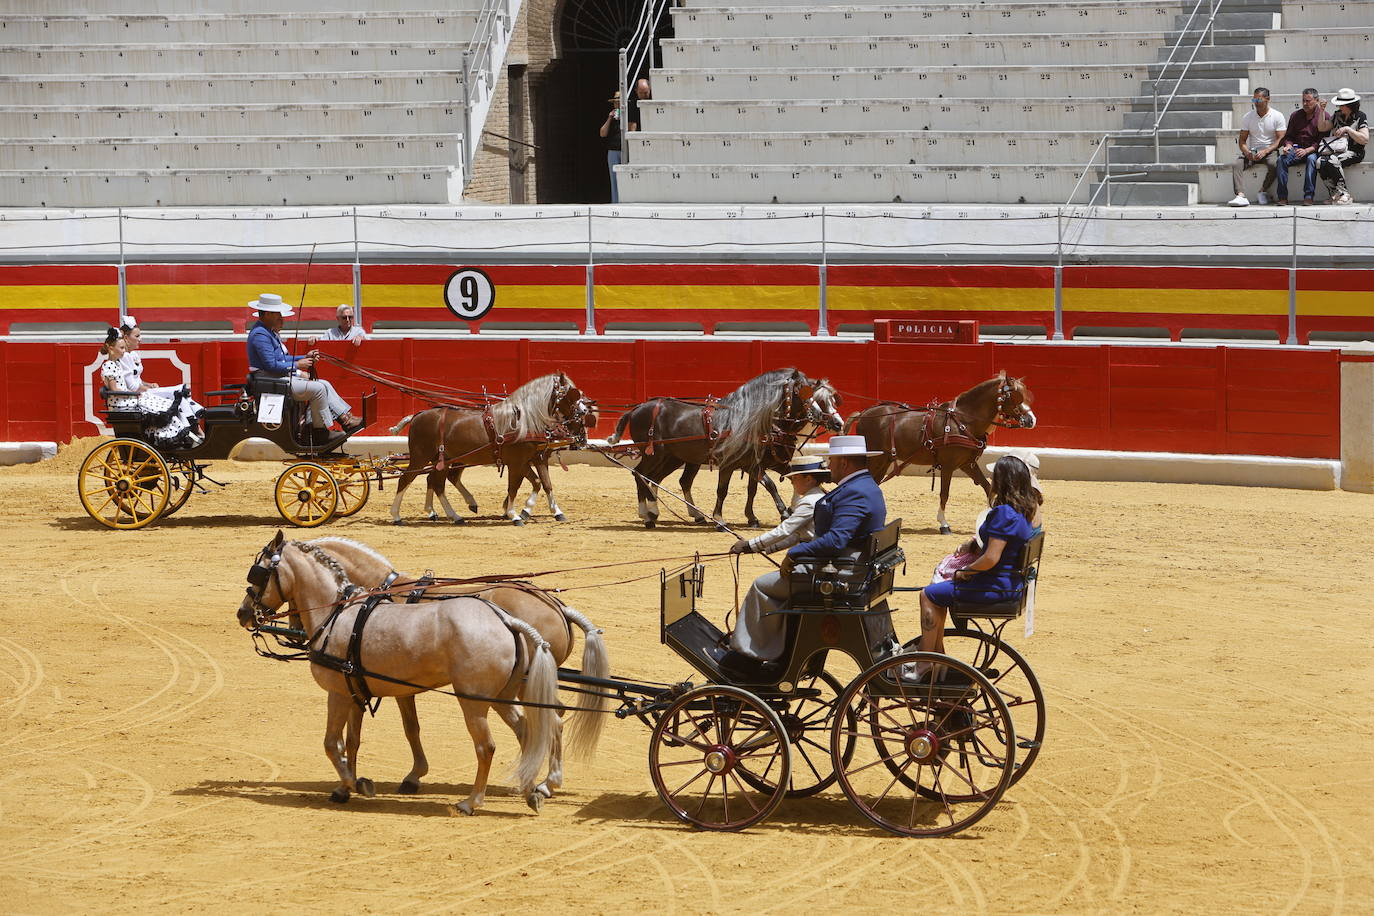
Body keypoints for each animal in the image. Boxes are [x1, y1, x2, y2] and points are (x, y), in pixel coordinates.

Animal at [237, 532, 563, 813]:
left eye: (258, 573)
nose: (243, 613)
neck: (338, 613)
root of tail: (507, 620)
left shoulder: (338, 692)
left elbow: (332, 743)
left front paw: (355, 783)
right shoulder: (355, 692)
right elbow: (351, 741)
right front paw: (346, 787)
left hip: (473, 701)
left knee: (487, 747)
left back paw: (473, 801)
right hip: (502, 697)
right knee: (528, 733)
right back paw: (529, 789)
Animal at [311, 538, 612, 802]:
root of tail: (556, 605)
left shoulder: (388, 685)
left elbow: (405, 729)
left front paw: (407, 776)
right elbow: (375, 733)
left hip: (525, 683)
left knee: (550, 720)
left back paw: (543, 782)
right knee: (551, 717)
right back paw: (539, 781)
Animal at [390, 373, 599, 527]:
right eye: (571, 395)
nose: (585, 415)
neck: (524, 422)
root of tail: (418, 415)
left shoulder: (536, 459)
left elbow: (543, 483)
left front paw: (553, 511)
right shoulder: (517, 462)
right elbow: (515, 487)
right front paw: (515, 514)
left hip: (442, 460)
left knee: (436, 482)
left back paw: (453, 515)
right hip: (421, 456)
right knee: (406, 479)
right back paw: (397, 516)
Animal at [607, 370, 840, 530]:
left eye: (830, 400)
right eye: (810, 397)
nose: (838, 423)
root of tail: (637, 408)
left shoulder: (756, 464)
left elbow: (761, 487)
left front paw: (760, 516)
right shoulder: (737, 464)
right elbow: (729, 490)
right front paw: (720, 520)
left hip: (673, 457)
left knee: (659, 479)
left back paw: (676, 513)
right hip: (655, 454)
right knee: (640, 474)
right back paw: (648, 513)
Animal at [846, 368, 1033, 532]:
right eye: (1015, 396)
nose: (1031, 420)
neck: (964, 421)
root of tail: (863, 414)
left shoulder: (968, 464)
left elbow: (988, 487)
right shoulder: (948, 466)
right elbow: (945, 493)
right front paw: (944, 524)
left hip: (882, 461)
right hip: (875, 459)